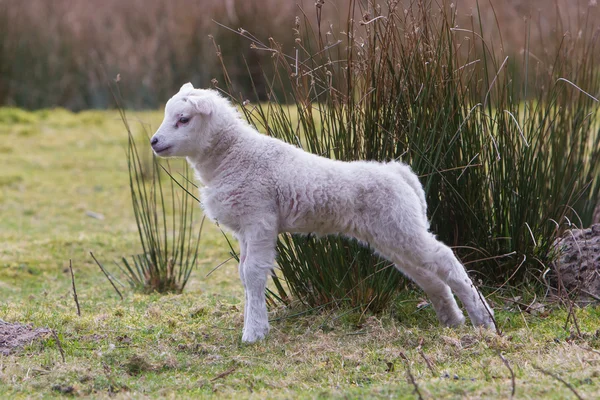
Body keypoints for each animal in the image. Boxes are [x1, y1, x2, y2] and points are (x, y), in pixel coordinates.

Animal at [152, 83, 494, 342]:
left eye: (183, 119)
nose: (154, 142)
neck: (233, 156)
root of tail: (398, 172)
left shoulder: (259, 219)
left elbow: (254, 274)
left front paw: (253, 335)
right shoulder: (246, 228)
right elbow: (244, 275)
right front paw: (255, 325)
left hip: (401, 227)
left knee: (445, 258)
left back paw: (484, 319)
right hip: (393, 233)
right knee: (428, 274)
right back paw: (453, 320)